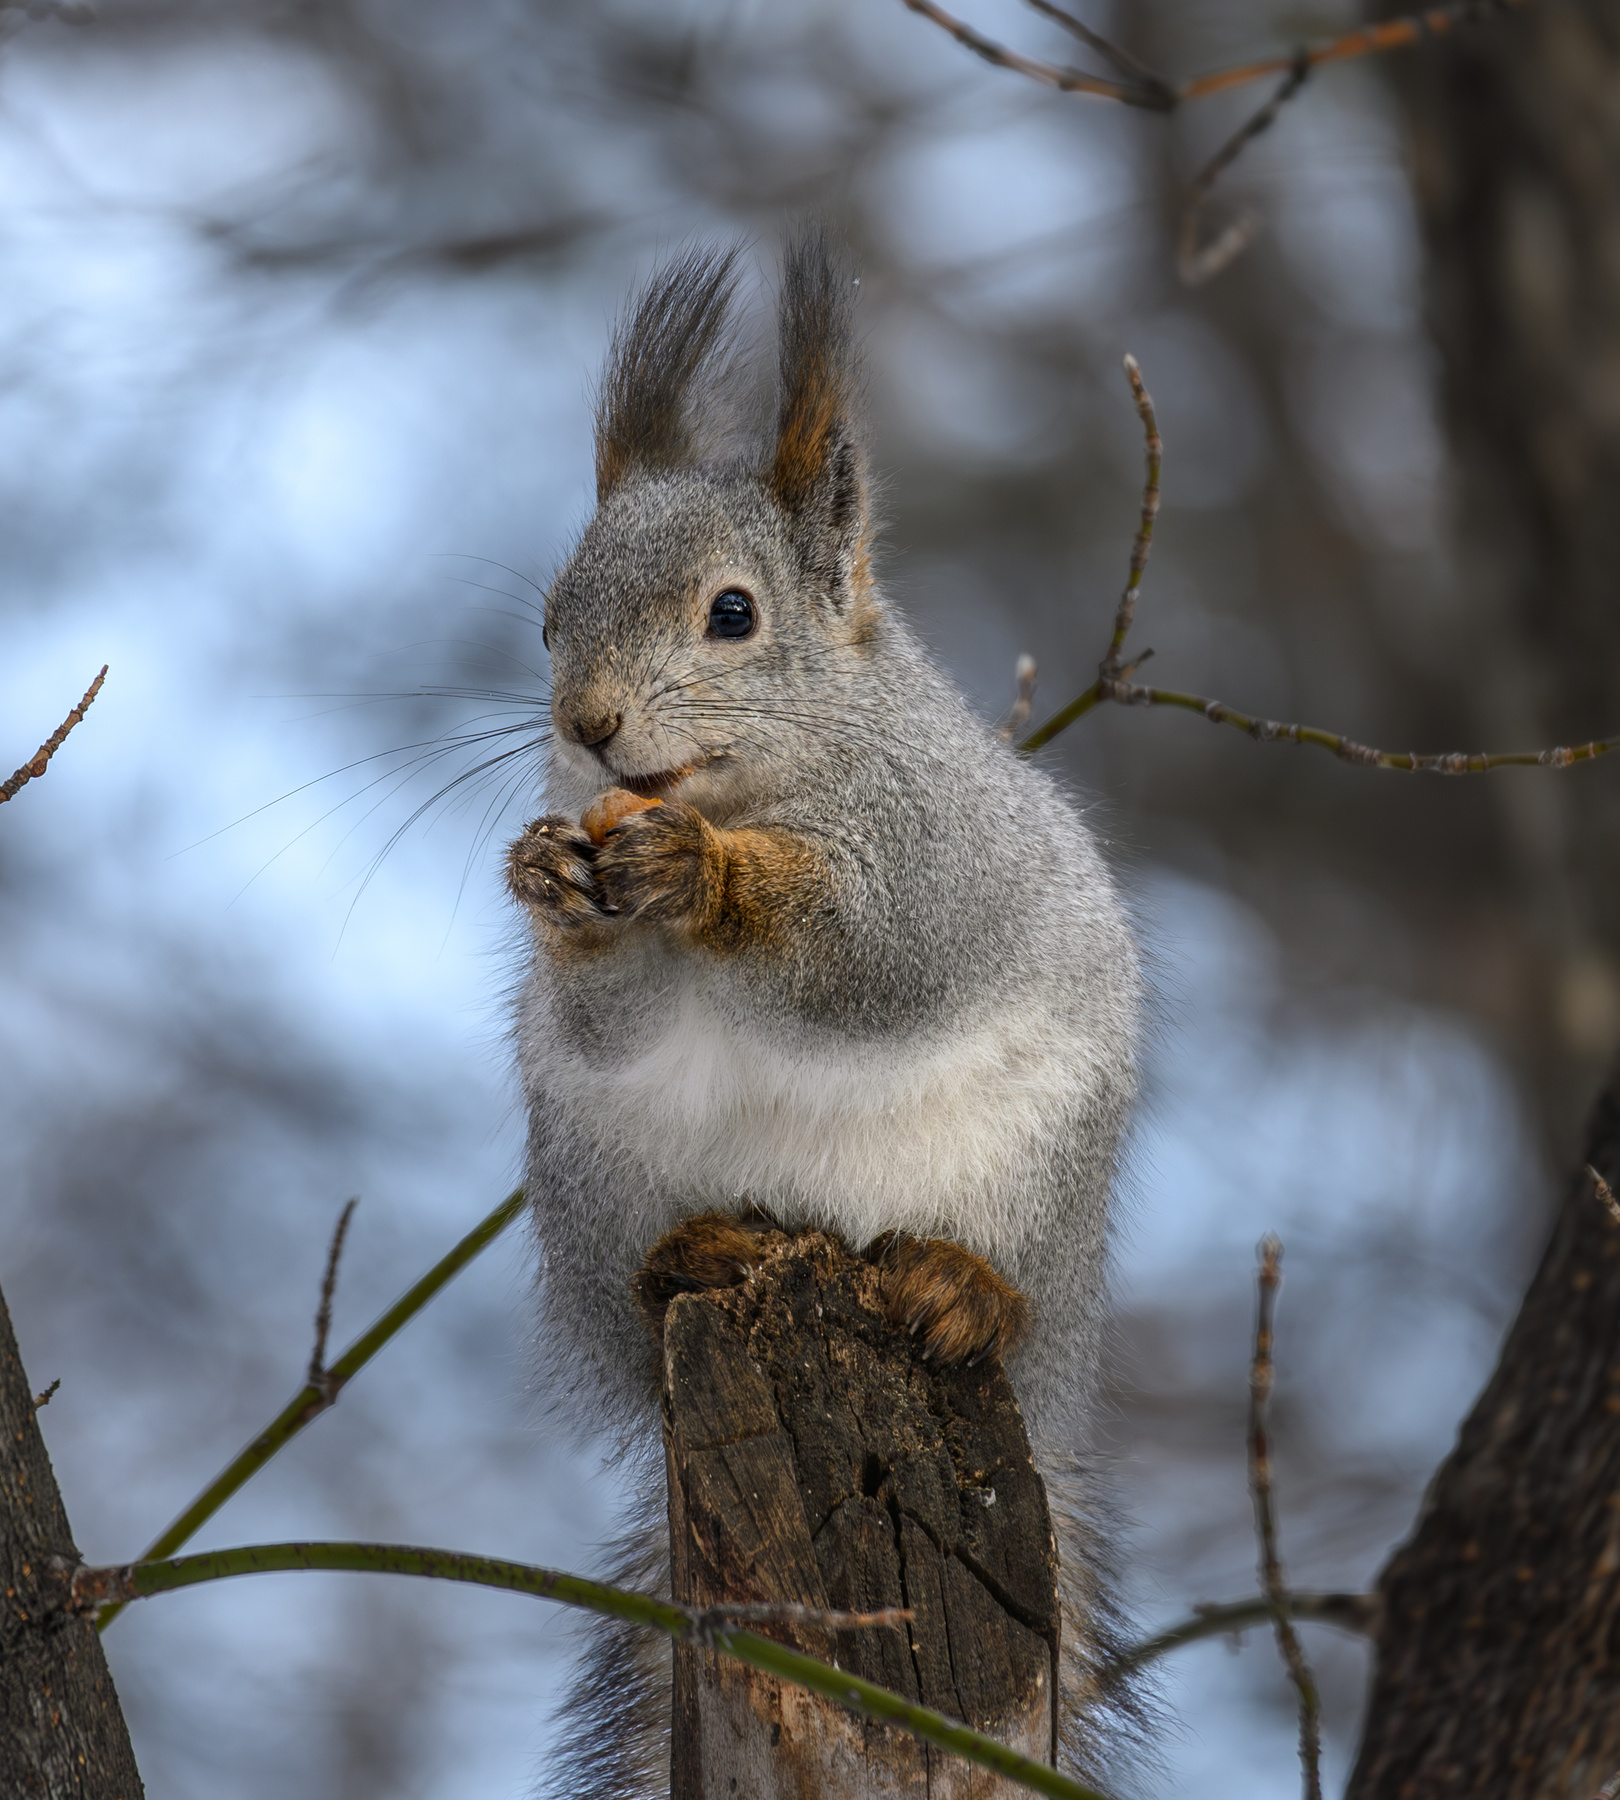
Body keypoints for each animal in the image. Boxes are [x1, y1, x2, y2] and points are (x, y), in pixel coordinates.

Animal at [506, 232, 1140, 1796]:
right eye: (547, 621)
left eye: (733, 614)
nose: (588, 725)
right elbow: (610, 1014)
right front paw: (553, 888)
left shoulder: (939, 859)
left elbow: (873, 948)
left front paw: (711, 875)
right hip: (595, 1188)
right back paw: (699, 1252)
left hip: (1033, 1190)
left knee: (1003, 1300)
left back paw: (962, 1291)